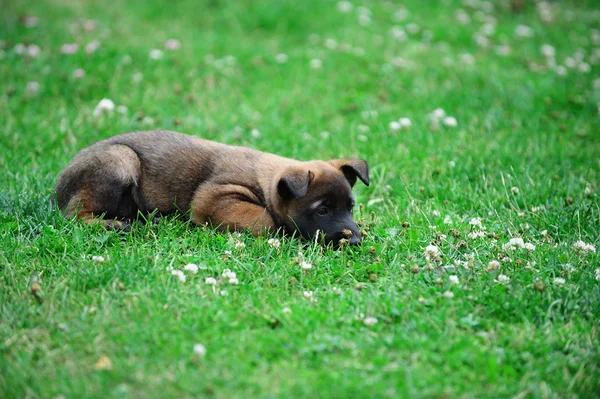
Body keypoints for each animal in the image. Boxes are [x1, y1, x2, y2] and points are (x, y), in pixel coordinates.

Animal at [57, 130, 370, 247]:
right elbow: (266, 220)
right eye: (323, 210)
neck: (266, 179)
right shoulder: (214, 196)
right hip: (121, 159)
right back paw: (121, 225)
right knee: (76, 215)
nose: (355, 241)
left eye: (350, 208)